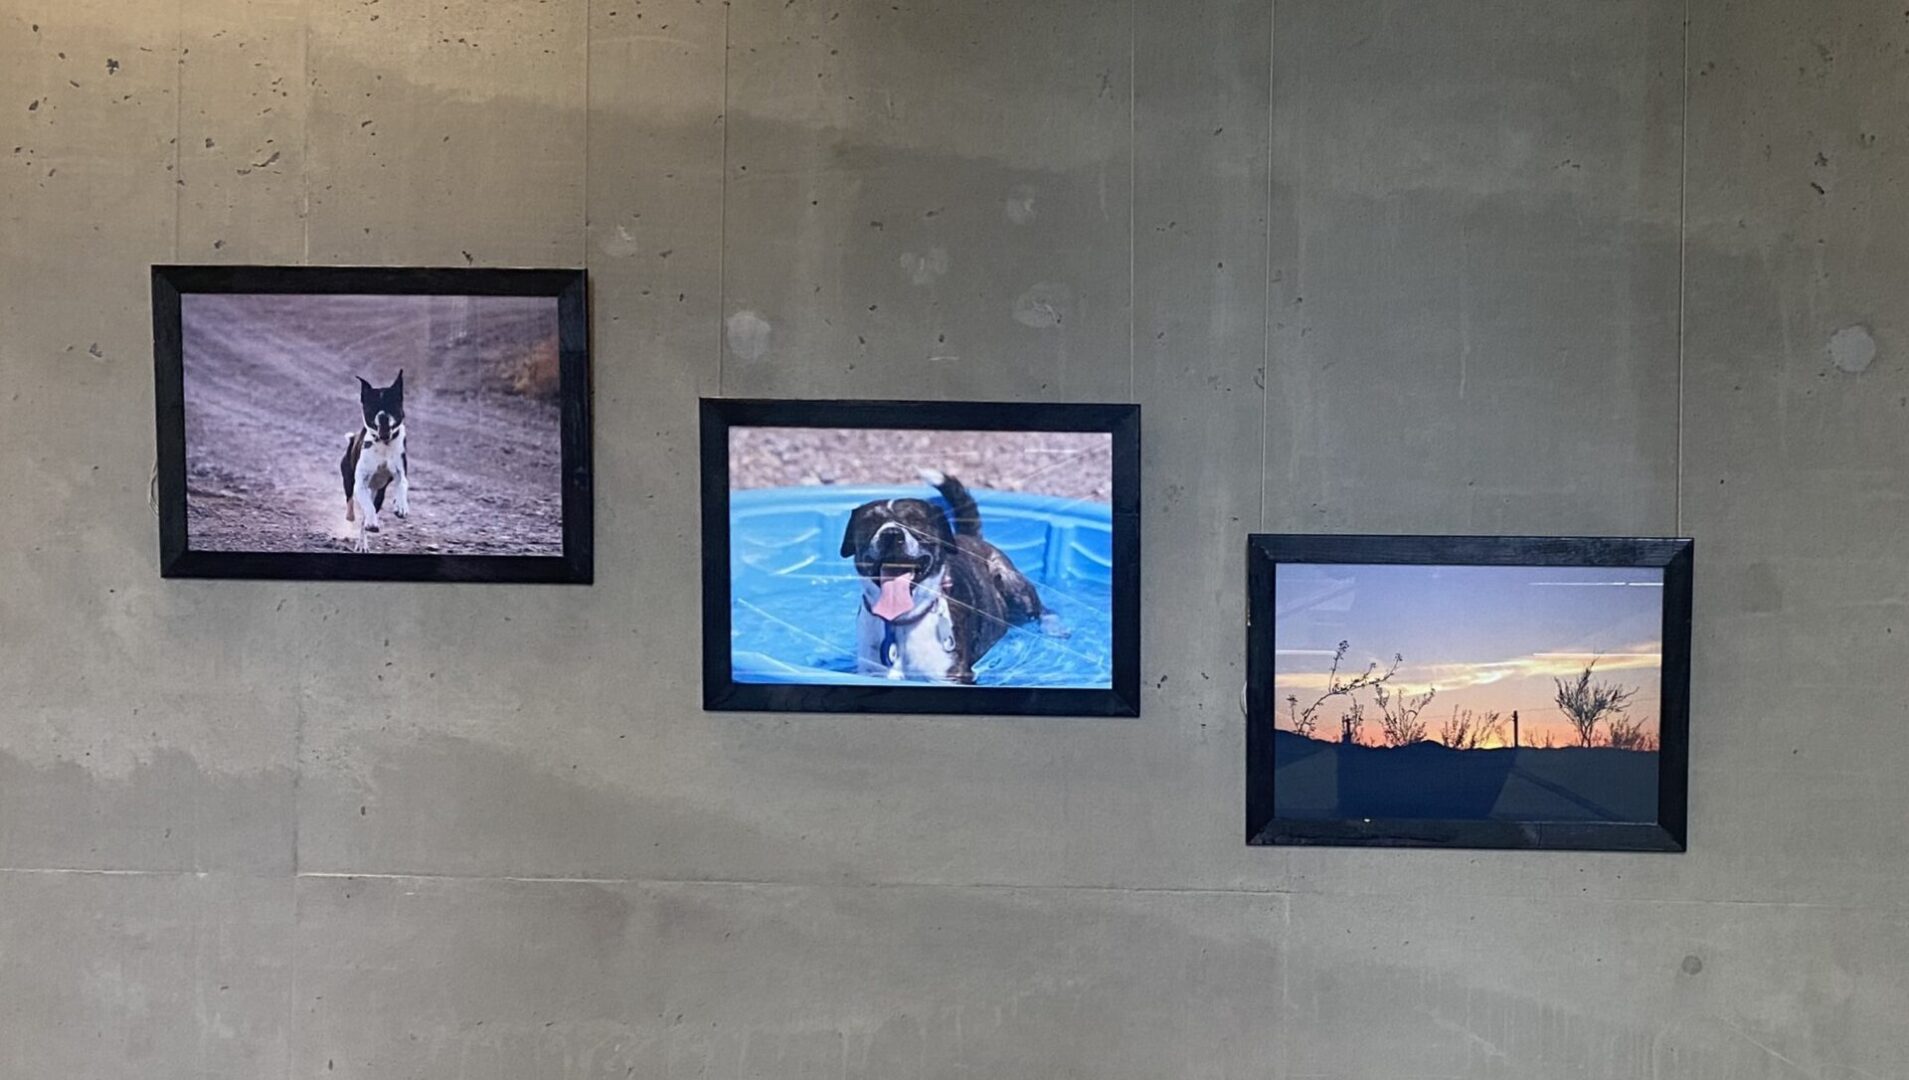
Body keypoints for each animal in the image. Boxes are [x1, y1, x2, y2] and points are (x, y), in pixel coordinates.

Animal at [337, 373, 408, 557]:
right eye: (373, 407)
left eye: (392, 406)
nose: (383, 416)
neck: (383, 443)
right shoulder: (361, 483)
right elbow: (367, 507)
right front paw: (372, 523)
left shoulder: (400, 473)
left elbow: (402, 485)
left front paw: (401, 506)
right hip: (348, 478)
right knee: (351, 502)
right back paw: (354, 517)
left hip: (379, 492)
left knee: (365, 518)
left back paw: (362, 544)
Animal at [843, 471, 1069, 686]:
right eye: (870, 522)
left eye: (916, 520)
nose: (891, 533)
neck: (900, 622)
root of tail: (973, 538)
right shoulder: (871, 671)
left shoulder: (950, 676)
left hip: (1011, 583)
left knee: (1041, 609)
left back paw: (1054, 627)